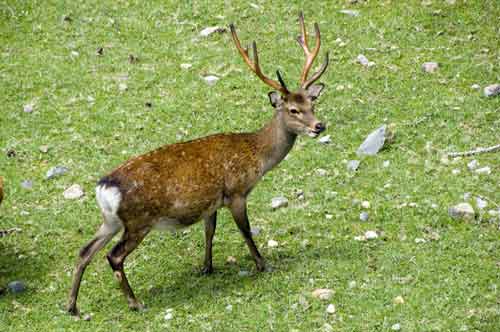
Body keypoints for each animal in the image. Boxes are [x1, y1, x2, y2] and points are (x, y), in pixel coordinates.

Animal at [68, 11, 330, 316]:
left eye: (313, 103)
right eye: (293, 110)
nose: (319, 126)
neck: (257, 156)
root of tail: (104, 188)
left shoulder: (210, 203)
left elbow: (209, 232)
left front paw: (207, 267)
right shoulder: (236, 192)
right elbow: (245, 231)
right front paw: (263, 264)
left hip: (110, 221)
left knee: (85, 251)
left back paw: (71, 306)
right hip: (138, 221)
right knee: (113, 256)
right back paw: (135, 302)